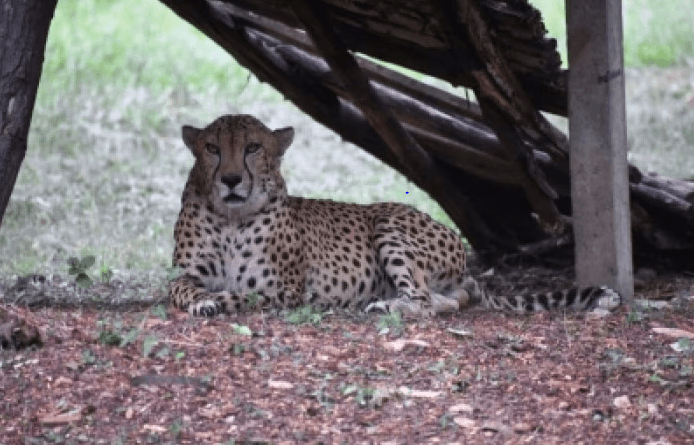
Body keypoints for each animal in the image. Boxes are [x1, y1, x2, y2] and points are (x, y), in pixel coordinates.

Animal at [169, 114, 621, 317]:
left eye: (252, 148)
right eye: (211, 148)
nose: (230, 180)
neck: (232, 218)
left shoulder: (283, 290)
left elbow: (241, 294)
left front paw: (217, 301)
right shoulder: (184, 275)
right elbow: (182, 290)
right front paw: (203, 301)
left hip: (389, 225)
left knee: (422, 299)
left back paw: (386, 306)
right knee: (447, 301)